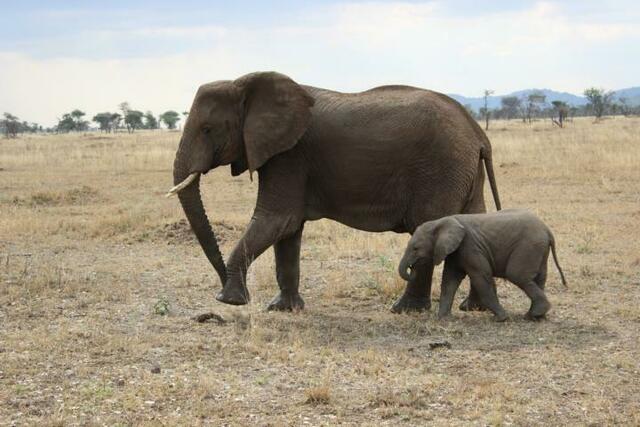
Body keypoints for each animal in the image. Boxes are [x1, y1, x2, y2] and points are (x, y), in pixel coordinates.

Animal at [167, 71, 502, 313]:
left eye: (207, 129)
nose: (222, 284)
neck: (246, 83)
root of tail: (478, 134)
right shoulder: (287, 156)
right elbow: (288, 231)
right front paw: (283, 309)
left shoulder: (289, 156)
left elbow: (276, 220)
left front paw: (230, 301)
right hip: (464, 172)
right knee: (476, 226)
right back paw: (473, 308)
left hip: (440, 168)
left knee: (427, 229)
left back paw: (405, 310)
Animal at [398, 209, 567, 321]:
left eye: (415, 248)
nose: (412, 268)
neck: (441, 221)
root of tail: (548, 231)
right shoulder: (456, 252)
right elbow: (449, 281)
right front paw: (443, 318)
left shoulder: (469, 246)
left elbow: (481, 277)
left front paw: (501, 318)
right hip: (539, 249)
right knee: (539, 278)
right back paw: (535, 316)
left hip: (528, 246)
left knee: (517, 275)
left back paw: (533, 315)